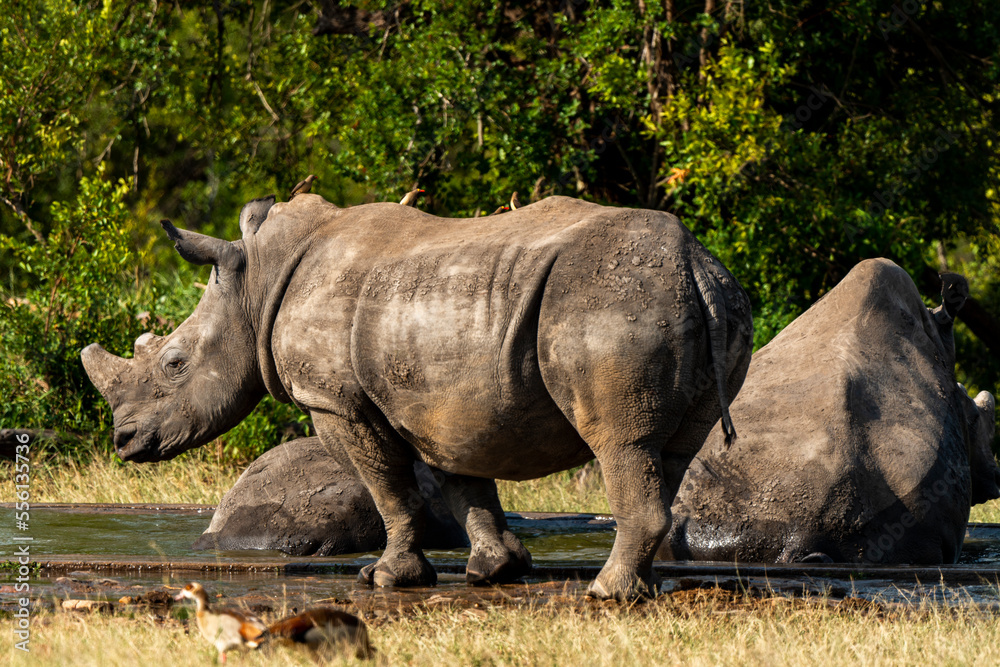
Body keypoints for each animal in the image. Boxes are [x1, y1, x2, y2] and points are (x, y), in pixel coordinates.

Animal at [82, 194, 753, 600]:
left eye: (174, 364)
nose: (124, 440)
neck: (257, 284)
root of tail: (693, 260)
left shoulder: (336, 401)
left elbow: (388, 486)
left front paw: (385, 577)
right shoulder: (436, 398)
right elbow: (462, 481)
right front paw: (493, 571)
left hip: (611, 302)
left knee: (620, 442)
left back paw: (607, 593)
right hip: (705, 298)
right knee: (670, 452)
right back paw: (641, 587)